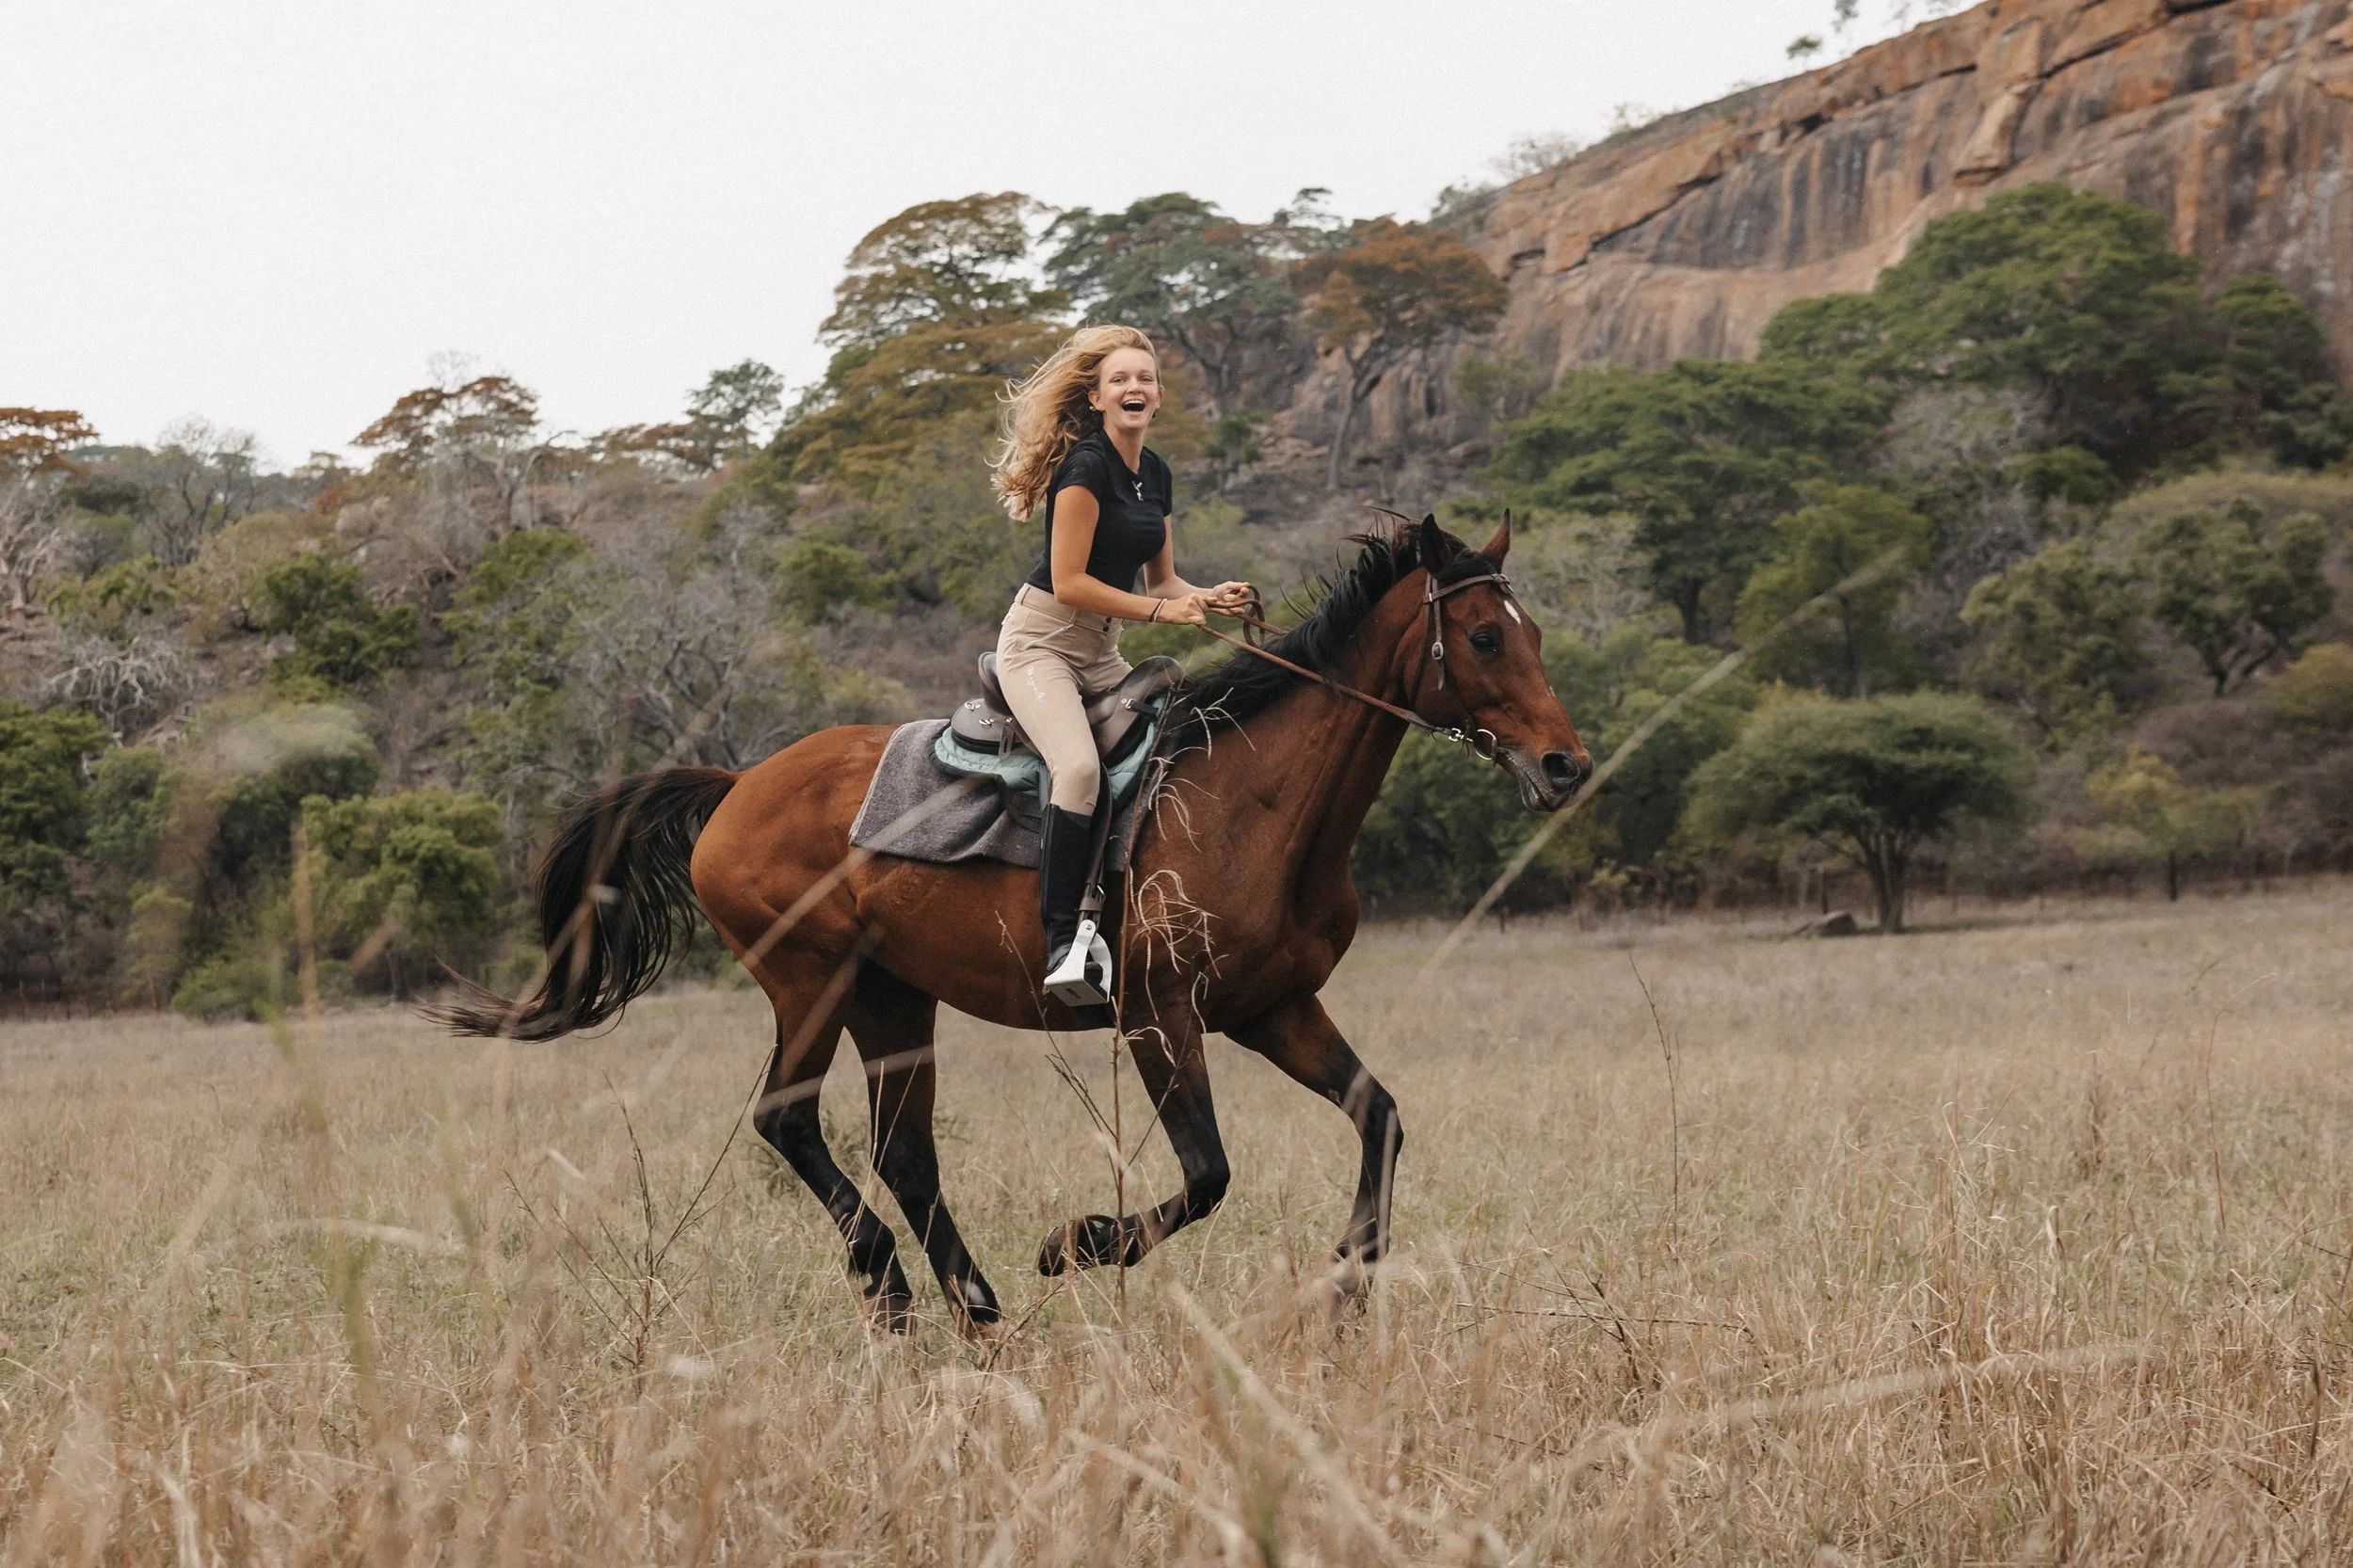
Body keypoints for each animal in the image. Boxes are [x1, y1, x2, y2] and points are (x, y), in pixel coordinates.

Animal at [440, 515, 1590, 1332]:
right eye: (1485, 635)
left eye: (1532, 632)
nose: (1565, 765)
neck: (1255, 801)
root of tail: (734, 787)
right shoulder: (1158, 1014)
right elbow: (1208, 1174)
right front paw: (1075, 1244)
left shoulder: (1274, 1008)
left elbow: (1378, 1118)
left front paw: (1347, 1288)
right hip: (809, 981)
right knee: (788, 1121)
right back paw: (895, 1288)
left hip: (890, 997)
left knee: (902, 1151)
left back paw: (971, 1302)